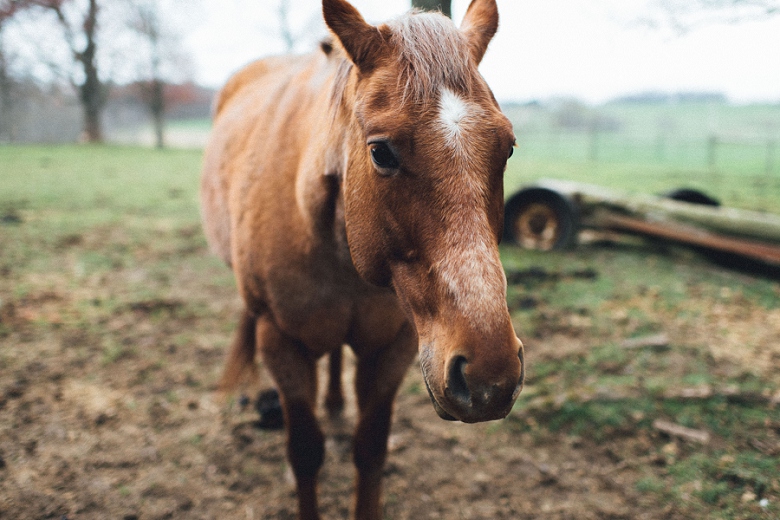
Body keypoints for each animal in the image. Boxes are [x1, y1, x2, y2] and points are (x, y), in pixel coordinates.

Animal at [200, 0, 524, 516]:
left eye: (507, 148)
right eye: (381, 152)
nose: (488, 376)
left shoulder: (393, 347)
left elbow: (370, 450)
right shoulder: (281, 344)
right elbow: (305, 453)